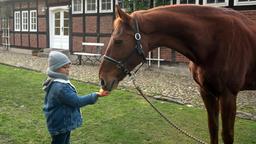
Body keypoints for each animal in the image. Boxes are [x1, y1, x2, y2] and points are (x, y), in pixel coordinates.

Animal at [98, 4, 256, 144]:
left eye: (118, 41)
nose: (102, 80)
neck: (213, 41)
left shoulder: (228, 96)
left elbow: (227, 135)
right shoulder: (206, 92)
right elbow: (213, 129)